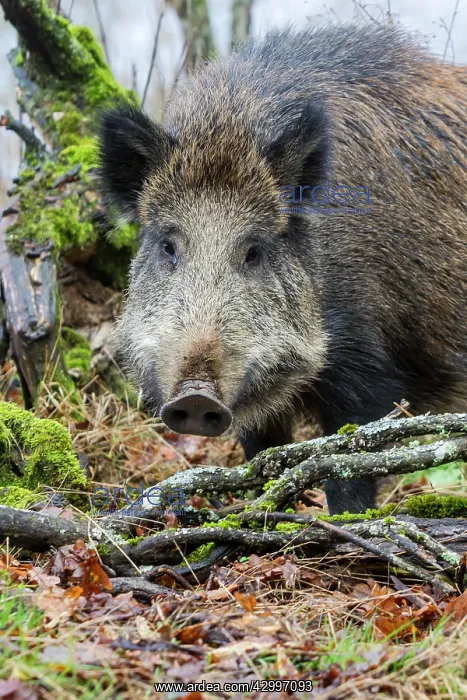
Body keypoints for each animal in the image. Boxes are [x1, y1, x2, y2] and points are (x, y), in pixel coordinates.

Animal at [99, 24, 467, 514]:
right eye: (168, 245)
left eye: (254, 251)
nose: (195, 396)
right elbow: (265, 455)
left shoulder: (370, 364)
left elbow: (348, 459)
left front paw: (346, 518)